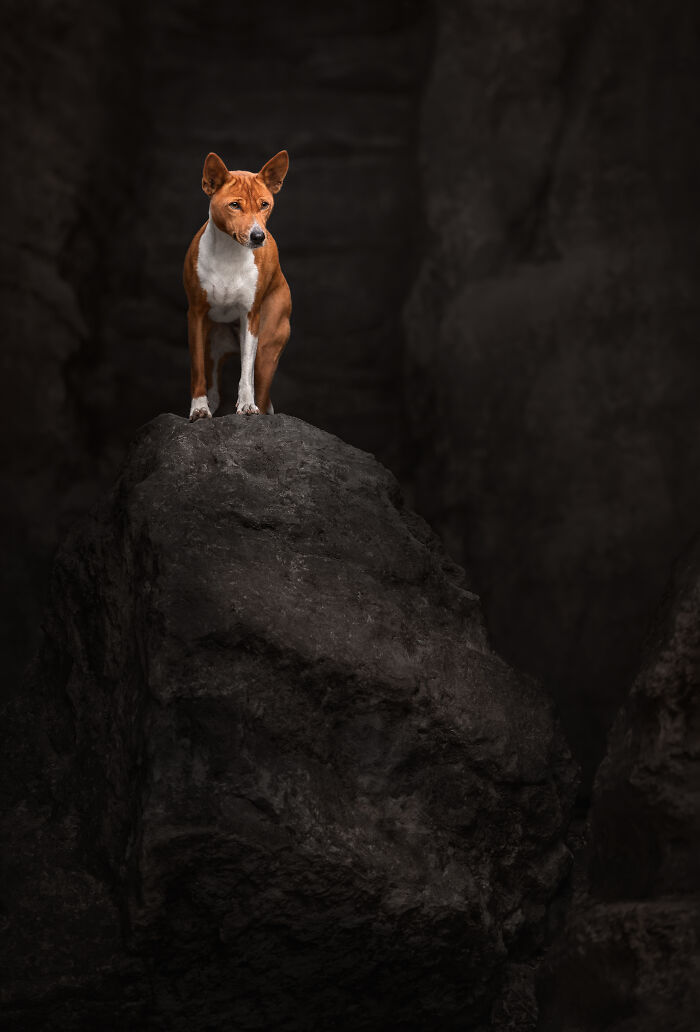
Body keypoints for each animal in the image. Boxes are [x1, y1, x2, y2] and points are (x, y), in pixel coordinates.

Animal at [182, 148, 291, 418]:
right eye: (234, 205)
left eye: (264, 204)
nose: (258, 236)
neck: (230, 254)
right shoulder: (196, 316)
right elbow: (197, 369)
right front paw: (198, 408)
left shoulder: (250, 316)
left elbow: (245, 373)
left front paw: (246, 404)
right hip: (212, 342)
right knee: (213, 386)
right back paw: (209, 403)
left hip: (266, 348)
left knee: (260, 387)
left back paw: (256, 405)